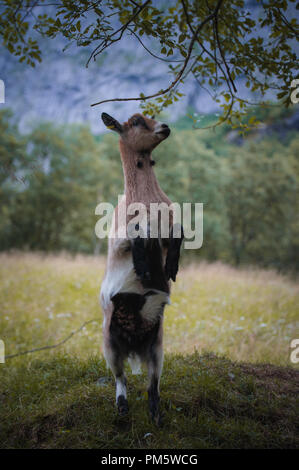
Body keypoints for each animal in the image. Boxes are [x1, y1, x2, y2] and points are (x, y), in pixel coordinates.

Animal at [99, 112, 184, 424]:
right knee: (120, 377)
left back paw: (155, 415)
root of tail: (134, 345)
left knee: (152, 383)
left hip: (157, 345)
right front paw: (143, 268)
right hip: (110, 342)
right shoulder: (116, 239)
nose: (165, 127)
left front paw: (170, 267)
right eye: (135, 121)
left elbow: (179, 231)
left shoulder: (170, 226)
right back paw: (122, 407)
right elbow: (136, 234)